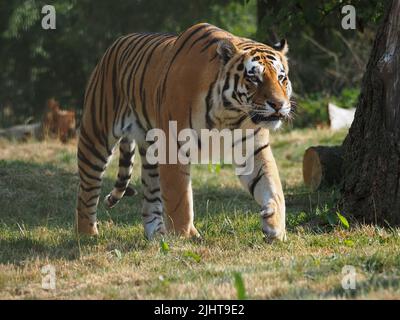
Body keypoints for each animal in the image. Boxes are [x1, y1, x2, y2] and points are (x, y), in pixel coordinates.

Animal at [76, 22, 294, 241]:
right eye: (254, 79)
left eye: (281, 78)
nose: (278, 104)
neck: (229, 113)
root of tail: (117, 42)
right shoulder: (173, 146)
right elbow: (179, 198)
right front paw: (184, 237)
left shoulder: (253, 149)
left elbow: (272, 187)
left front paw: (274, 226)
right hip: (95, 135)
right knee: (87, 190)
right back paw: (87, 234)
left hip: (150, 152)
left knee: (150, 198)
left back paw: (157, 235)